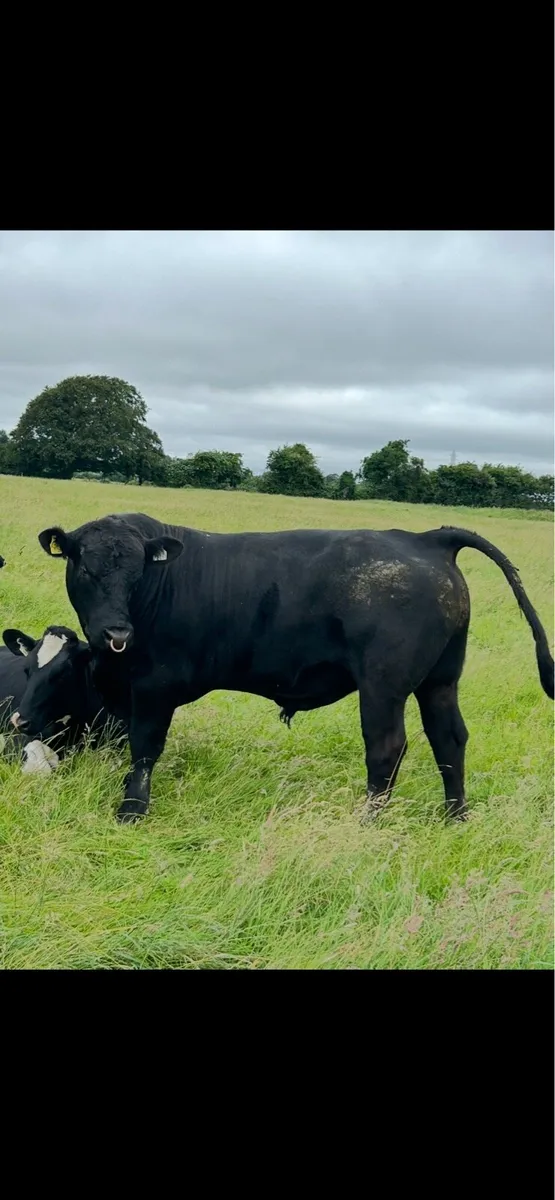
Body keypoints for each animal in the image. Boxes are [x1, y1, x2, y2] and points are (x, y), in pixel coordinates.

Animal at [37, 513, 554, 826]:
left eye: (138, 570)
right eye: (86, 568)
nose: (115, 630)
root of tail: (426, 539)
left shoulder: (154, 687)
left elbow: (144, 749)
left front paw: (131, 811)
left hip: (383, 684)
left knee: (386, 748)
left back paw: (370, 822)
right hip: (440, 679)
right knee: (449, 739)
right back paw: (455, 816)